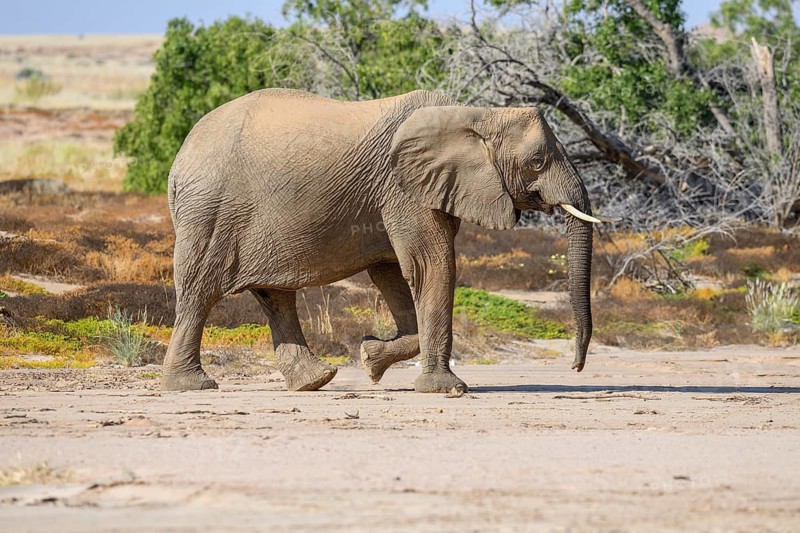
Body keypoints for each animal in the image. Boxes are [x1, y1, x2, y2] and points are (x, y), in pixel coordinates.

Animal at [162, 88, 613, 393]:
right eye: (537, 161)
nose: (575, 367)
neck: (476, 114)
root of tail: (179, 159)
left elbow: (395, 272)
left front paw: (369, 357)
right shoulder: (402, 189)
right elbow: (431, 265)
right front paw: (447, 390)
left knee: (274, 295)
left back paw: (315, 381)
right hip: (211, 212)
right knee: (200, 291)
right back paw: (193, 385)